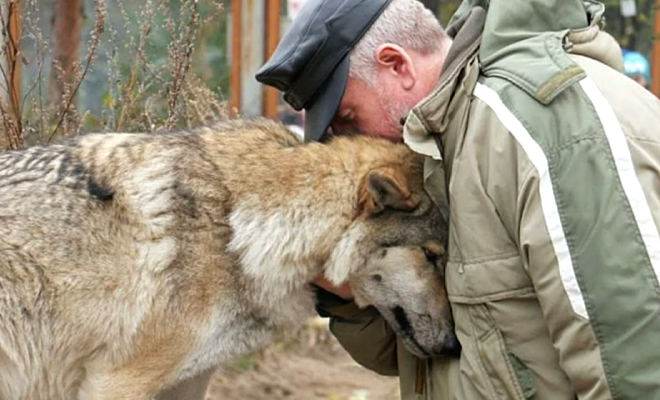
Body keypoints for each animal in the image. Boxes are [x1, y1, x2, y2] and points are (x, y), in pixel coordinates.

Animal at [0, 119, 458, 400]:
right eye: (432, 256)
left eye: (443, 258)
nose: (455, 345)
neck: (237, 232)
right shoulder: (117, 380)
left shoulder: (189, 380)